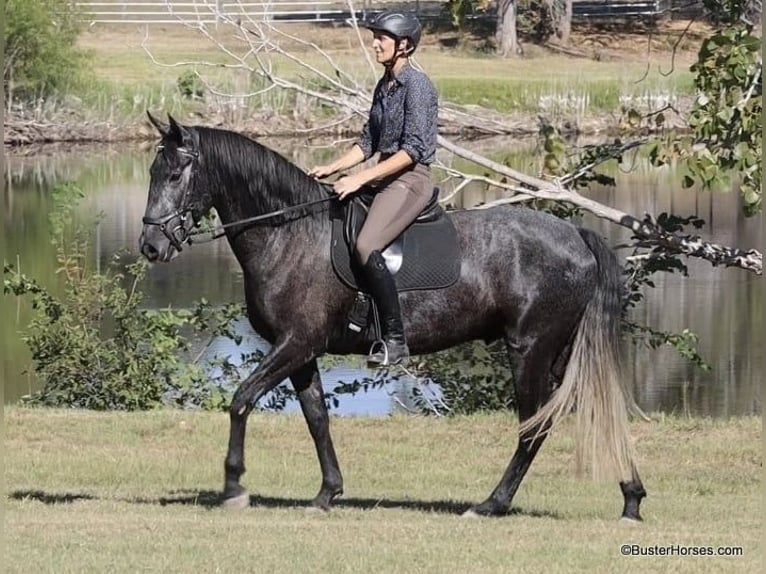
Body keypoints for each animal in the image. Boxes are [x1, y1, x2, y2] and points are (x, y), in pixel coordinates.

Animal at [139, 113, 647, 520]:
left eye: (176, 173)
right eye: (152, 171)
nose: (151, 246)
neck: (290, 233)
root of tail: (578, 236)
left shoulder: (295, 343)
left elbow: (241, 399)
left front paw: (233, 487)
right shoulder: (301, 352)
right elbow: (317, 418)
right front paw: (327, 493)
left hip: (530, 351)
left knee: (535, 425)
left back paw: (491, 504)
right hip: (561, 351)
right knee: (599, 407)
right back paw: (631, 498)